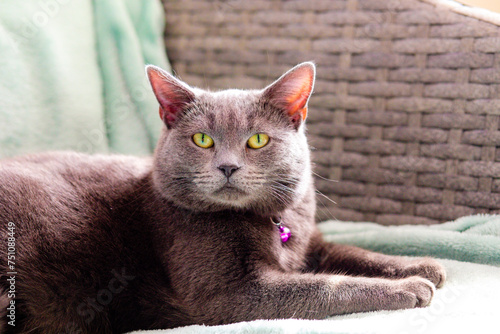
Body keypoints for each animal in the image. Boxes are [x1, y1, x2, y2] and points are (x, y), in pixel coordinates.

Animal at [0, 63, 446, 334]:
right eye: (202, 140)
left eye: (258, 140)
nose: (228, 166)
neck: (269, 222)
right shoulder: (229, 295)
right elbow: (325, 286)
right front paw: (411, 287)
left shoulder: (309, 242)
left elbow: (351, 252)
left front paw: (422, 266)